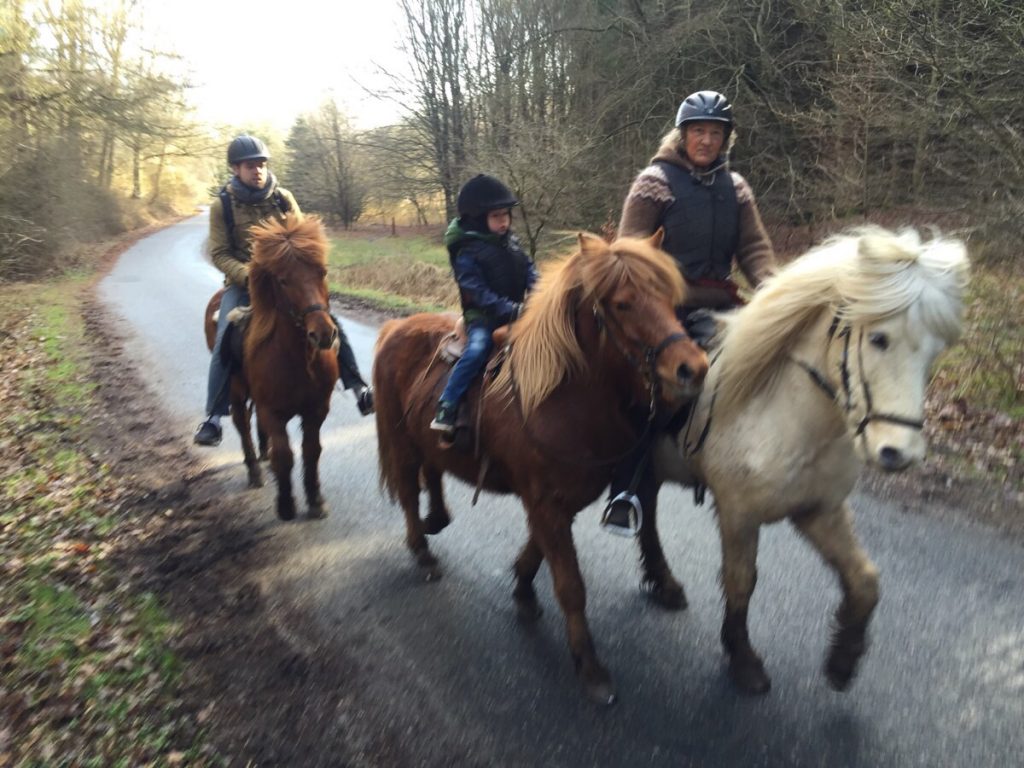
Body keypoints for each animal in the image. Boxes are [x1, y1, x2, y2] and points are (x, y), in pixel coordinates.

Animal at [372, 230, 708, 704]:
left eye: (669, 296)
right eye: (623, 304)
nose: (691, 369)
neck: (562, 397)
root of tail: (395, 329)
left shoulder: (560, 498)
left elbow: (539, 549)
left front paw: (523, 588)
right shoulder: (546, 500)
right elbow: (570, 584)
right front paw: (589, 665)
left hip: (425, 442)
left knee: (433, 472)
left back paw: (436, 518)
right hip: (401, 442)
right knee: (406, 491)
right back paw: (422, 551)